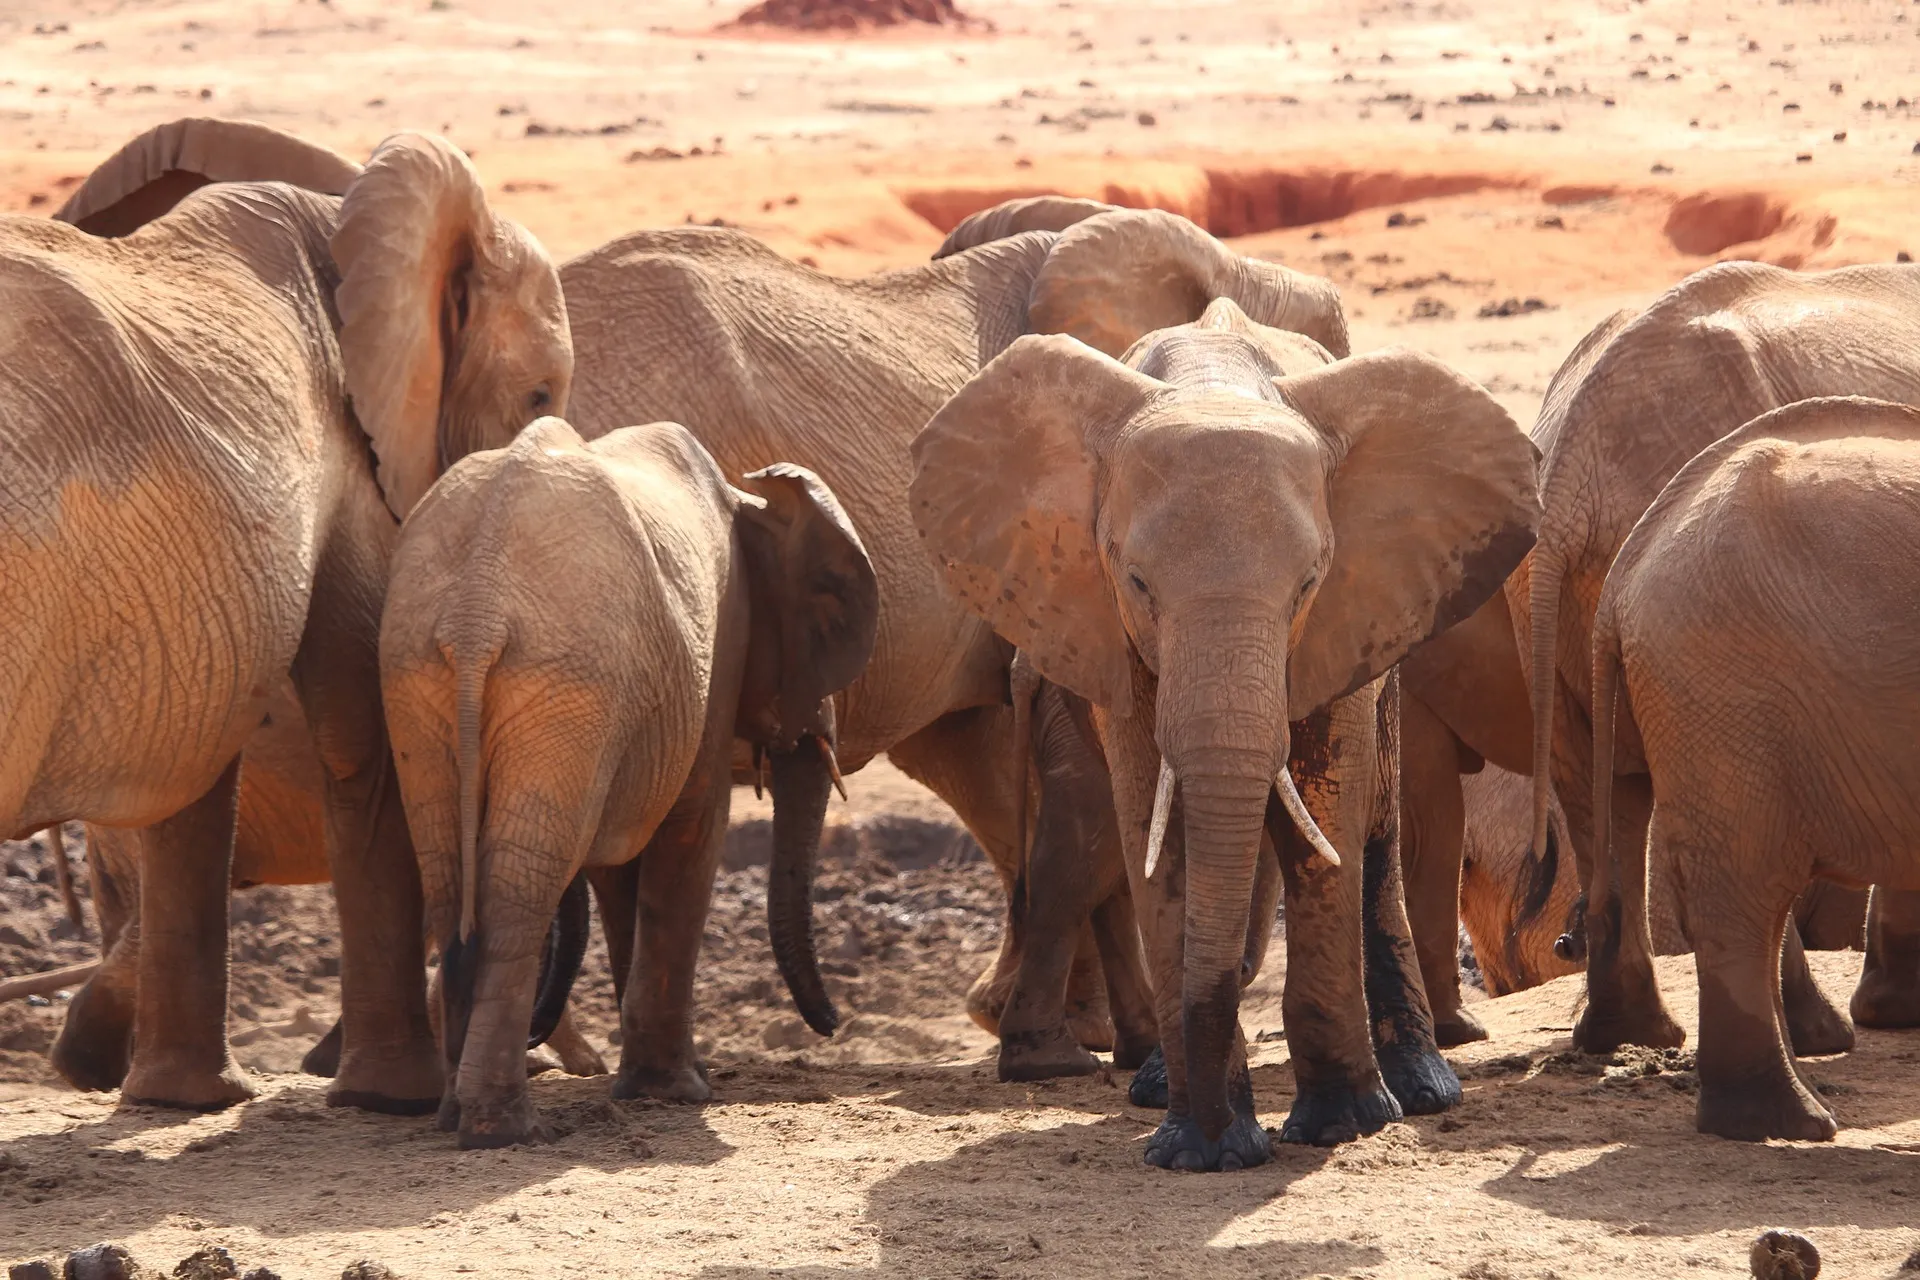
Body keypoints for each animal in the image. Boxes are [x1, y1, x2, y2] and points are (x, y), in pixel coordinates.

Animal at [11, 124, 572, 1113]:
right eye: (540, 397)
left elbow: (196, 759)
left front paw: (184, 1102)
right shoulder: (350, 466)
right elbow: (362, 734)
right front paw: (392, 1101)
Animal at [387, 416, 879, 1143]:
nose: (834, 1024)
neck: (749, 501)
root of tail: (475, 610)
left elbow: (619, 871)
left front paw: (650, 1085)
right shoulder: (718, 644)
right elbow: (690, 833)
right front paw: (678, 1092)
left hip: (419, 676)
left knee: (450, 880)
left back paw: (455, 1116)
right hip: (567, 678)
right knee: (518, 888)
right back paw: (505, 1128)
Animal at [906, 303, 1536, 1174]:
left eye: (1309, 582)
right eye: (1136, 581)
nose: (1211, 1136)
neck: (1215, 378)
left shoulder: (1355, 603)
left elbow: (1326, 811)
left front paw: (1344, 1125)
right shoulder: (1107, 627)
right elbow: (1151, 812)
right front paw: (1199, 1150)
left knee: (1377, 829)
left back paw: (1420, 1091)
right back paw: (1156, 1089)